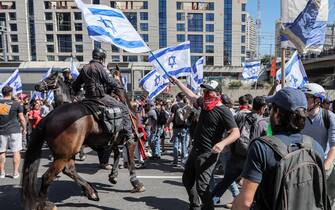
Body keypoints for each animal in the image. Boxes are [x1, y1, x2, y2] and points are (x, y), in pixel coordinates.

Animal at [21, 71, 145, 209]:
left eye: (51, 77)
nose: (37, 86)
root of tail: (48, 117)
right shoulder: (130, 141)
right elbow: (130, 162)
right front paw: (136, 183)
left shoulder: (114, 140)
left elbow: (117, 155)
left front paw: (113, 176)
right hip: (64, 155)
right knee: (48, 177)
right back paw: (47, 204)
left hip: (67, 153)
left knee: (69, 170)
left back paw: (90, 191)